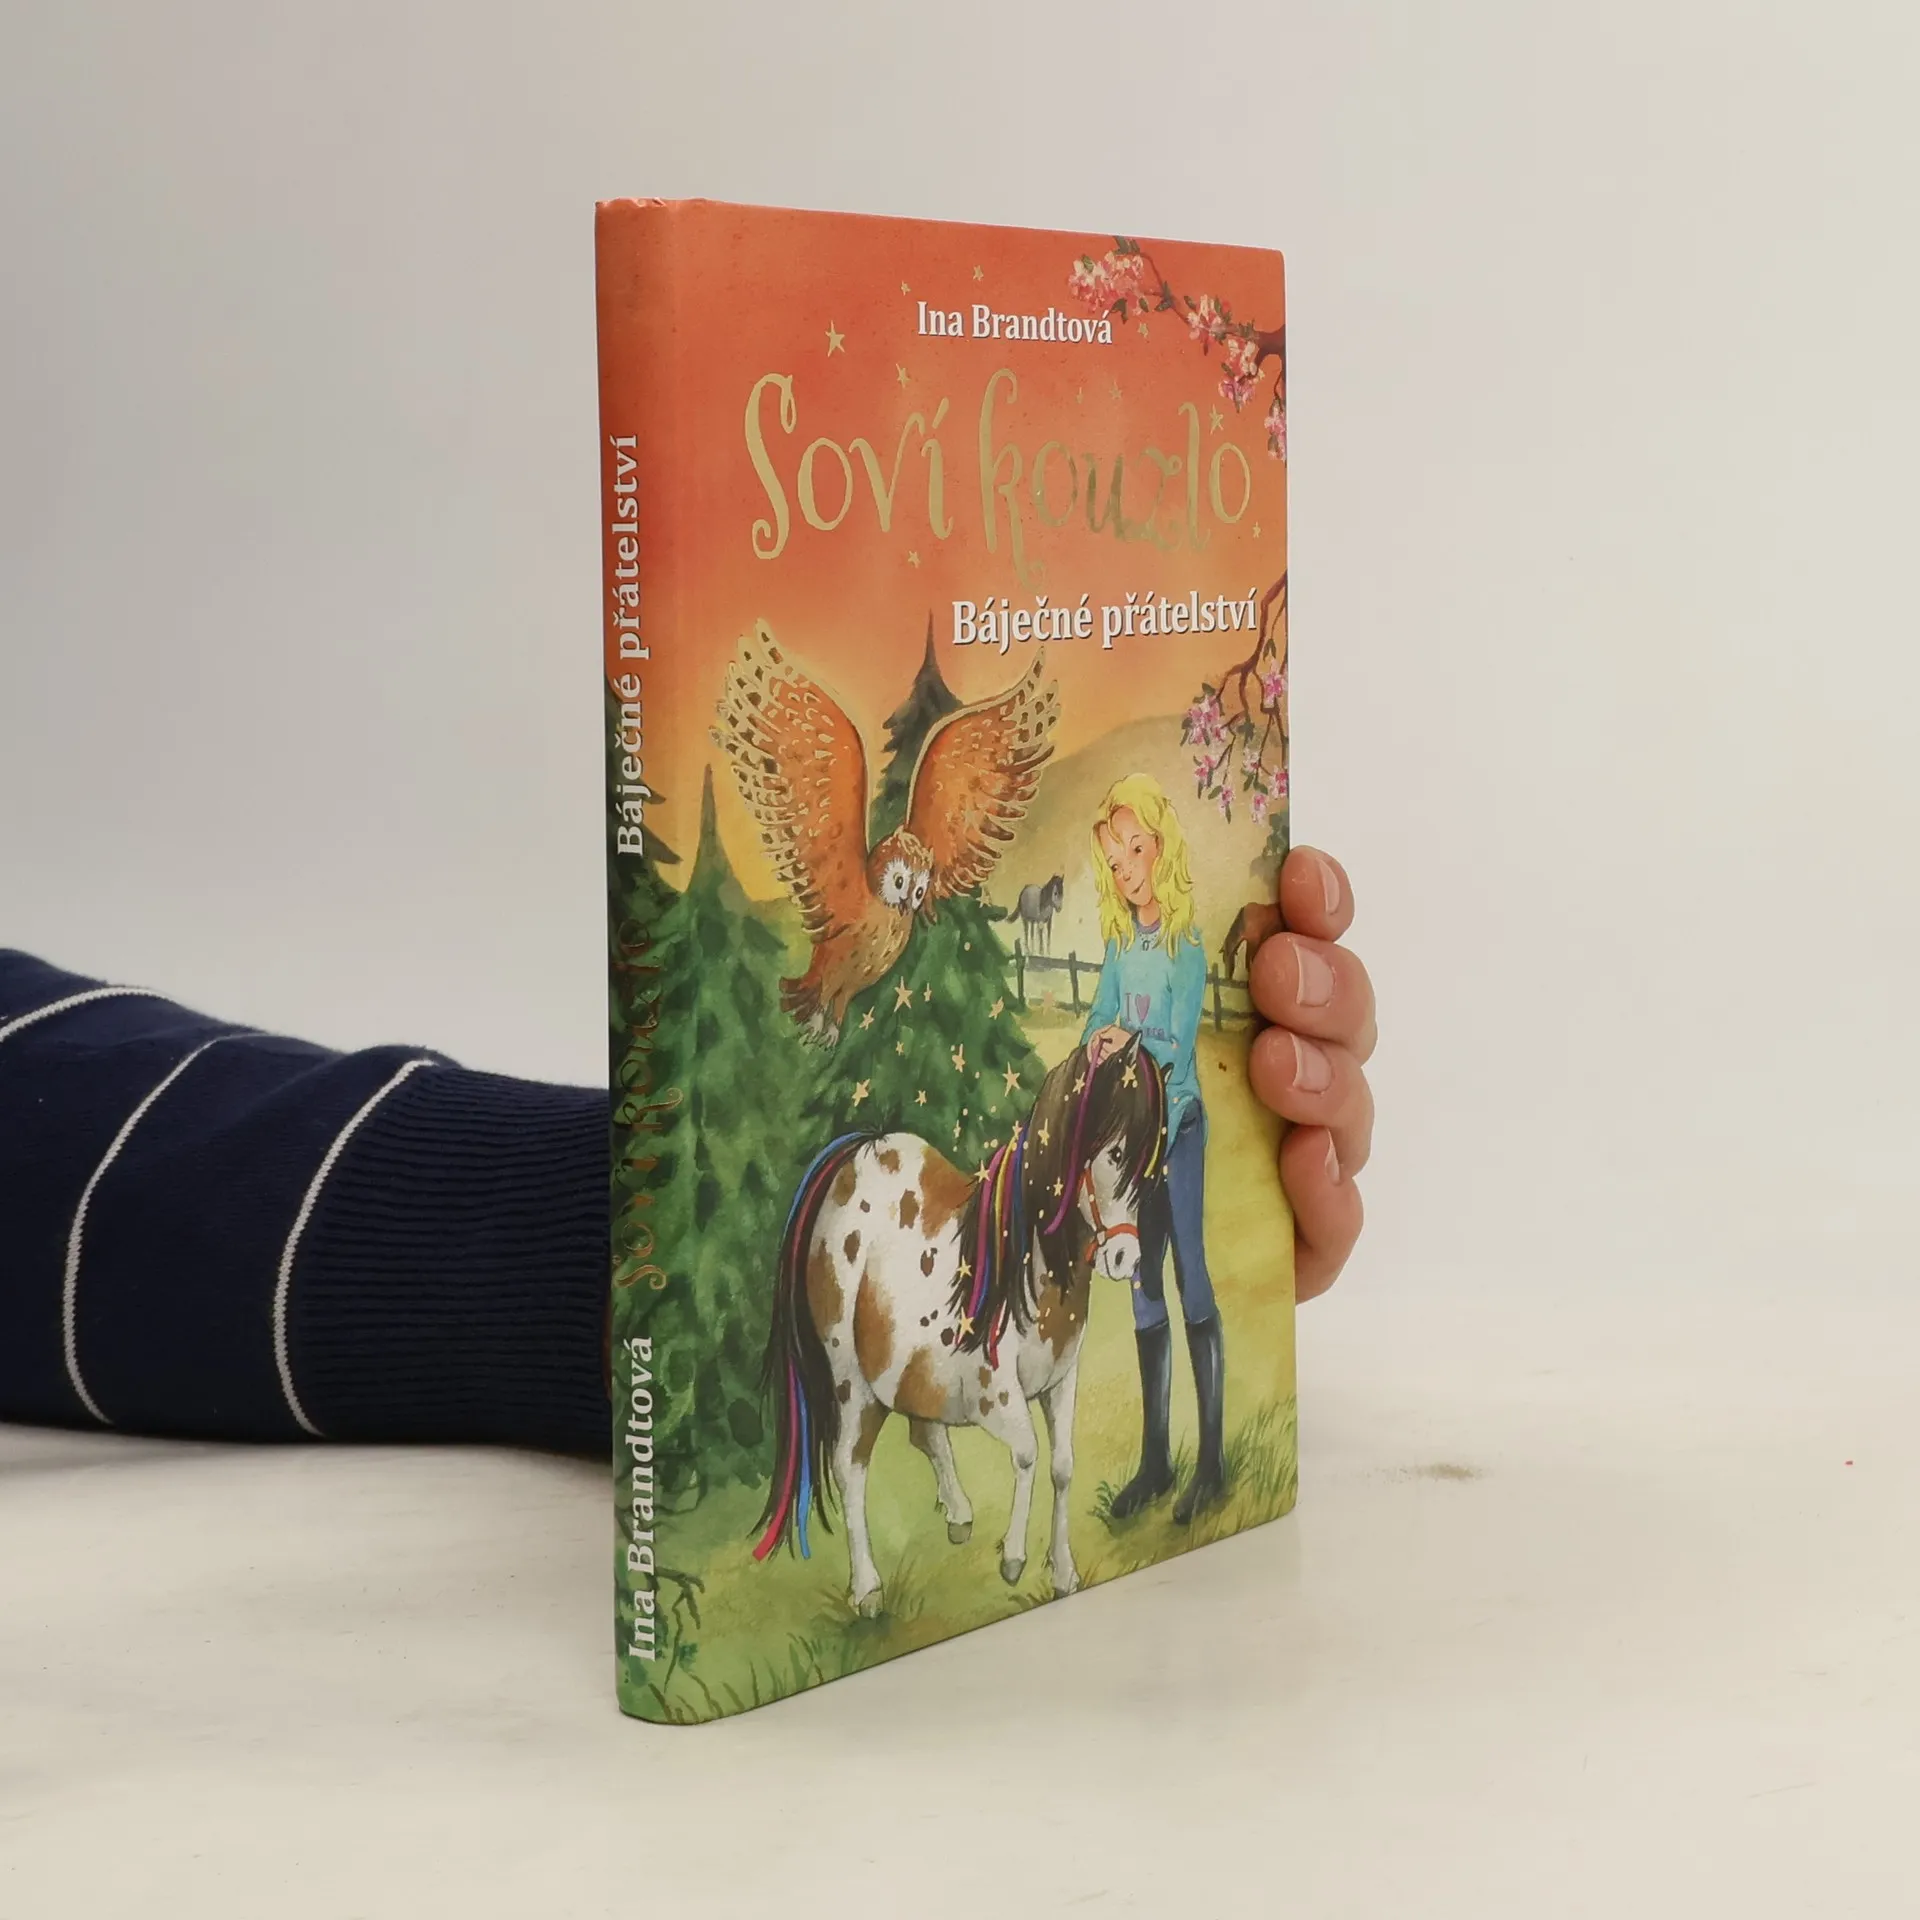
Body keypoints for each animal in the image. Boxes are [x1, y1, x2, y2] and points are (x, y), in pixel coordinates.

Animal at [753, 1038, 1168, 1615]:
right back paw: (868, 1589)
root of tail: (850, 1162)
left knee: (923, 1431)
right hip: (850, 1381)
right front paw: (1014, 1559)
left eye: (1153, 1167)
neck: (1024, 1267)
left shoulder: (1061, 1381)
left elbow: (1061, 1465)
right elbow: (1027, 1454)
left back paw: (958, 1514)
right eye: (1114, 1155)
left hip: (903, 1369)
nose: (1126, 1258)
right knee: (849, 1465)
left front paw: (1063, 1572)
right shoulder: (996, 1395)